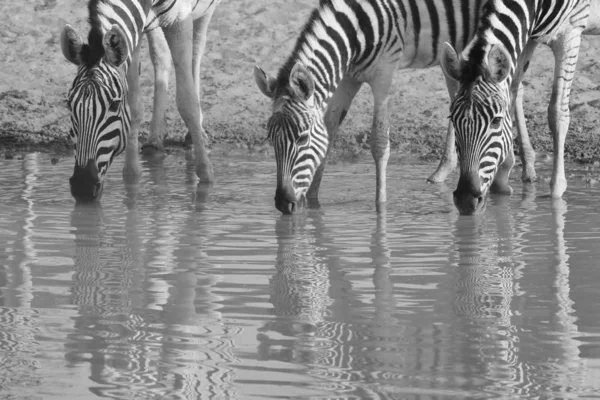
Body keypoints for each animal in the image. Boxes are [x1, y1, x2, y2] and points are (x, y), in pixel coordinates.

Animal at [60, 0, 220, 202]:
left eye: (114, 104)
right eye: (69, 104)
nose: (83, 187)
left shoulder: (179, 19)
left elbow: (187, 101)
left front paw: (206, 176)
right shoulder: (134, 31)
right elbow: (134, 104)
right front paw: (132, 175)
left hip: (203, 12)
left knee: (197, 50)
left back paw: (193, 135)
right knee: (161, 56)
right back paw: (154, 140)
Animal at [253, 0, 536, 216]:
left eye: (301, 138)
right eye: (270, 139)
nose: (283, 204)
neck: (358, 30)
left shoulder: (384, 74)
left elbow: (379, 143)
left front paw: (381, 207)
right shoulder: (348, 78)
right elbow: (329, 133)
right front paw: (313, 203)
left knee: (513, 86)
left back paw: (524, 168)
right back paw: (445, 170)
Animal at [440, 0, 600, 216]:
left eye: (496, 121)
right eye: (453, 120)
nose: (466, 201)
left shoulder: (571, 29)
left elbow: (557, 111)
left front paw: (556, 194)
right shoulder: (528, 33)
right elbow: (512, 90)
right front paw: (501, 179)